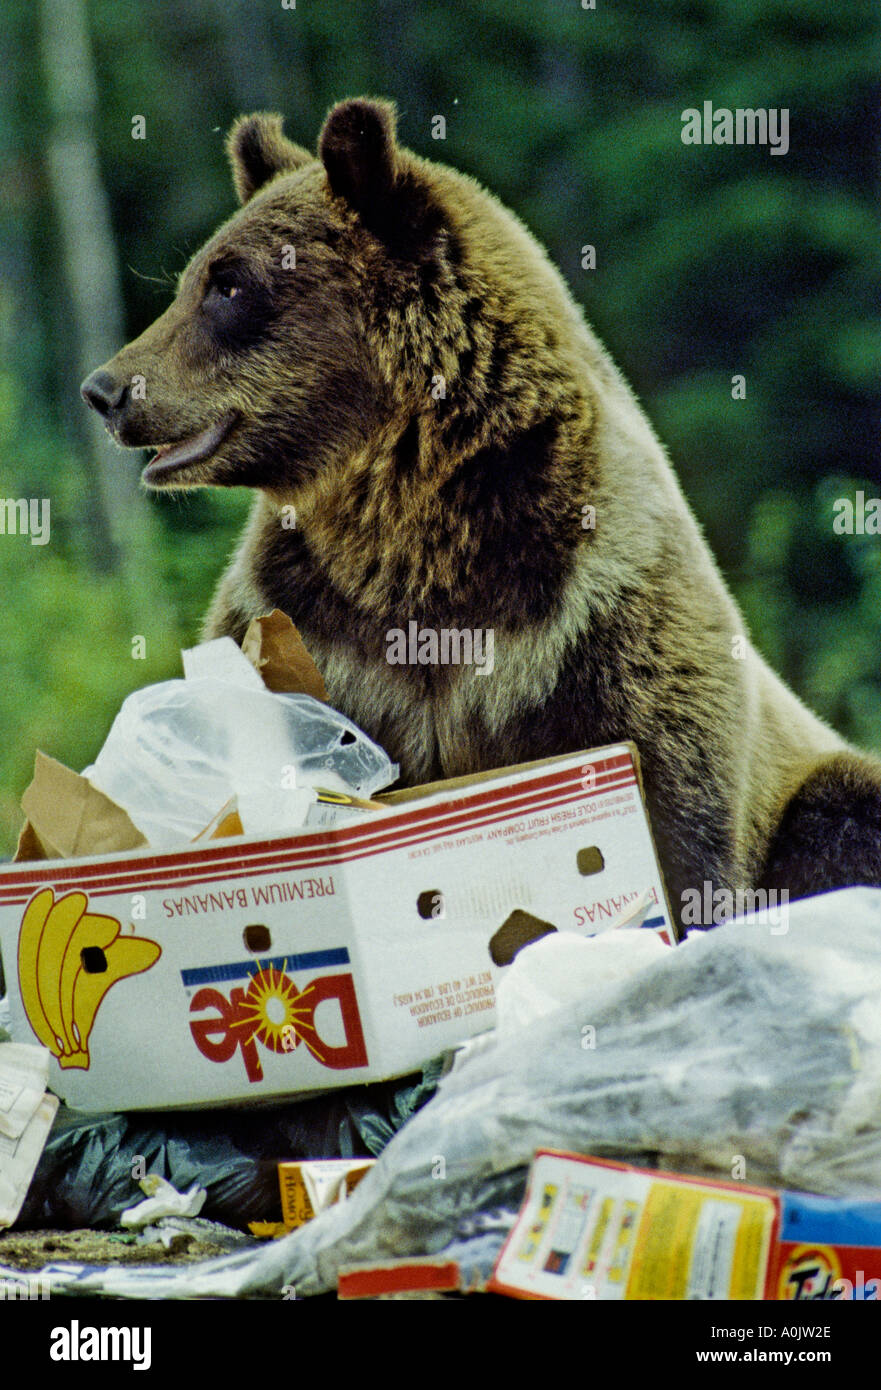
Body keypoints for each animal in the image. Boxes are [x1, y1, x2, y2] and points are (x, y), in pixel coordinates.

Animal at [81, 96, 881, 931]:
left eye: (228, 285)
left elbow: (675, 812)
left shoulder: (593, 617)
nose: (105, 389)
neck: (410, 513)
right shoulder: (314, 618)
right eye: (192, 278)